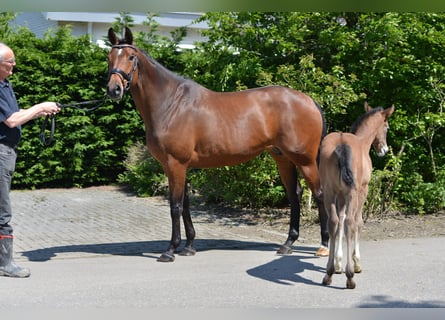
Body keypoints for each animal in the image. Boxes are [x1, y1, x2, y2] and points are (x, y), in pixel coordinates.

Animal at [106, 27, 328, 262]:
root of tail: (310, 101)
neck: (171, 104)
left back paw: (324, 245)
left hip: (305, 160)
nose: (114, 90)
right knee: (295, 195)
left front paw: (170, 250)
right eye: (109, 57)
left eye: (131, 57)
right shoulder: (177, 166)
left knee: (320, 193)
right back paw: (288, 244)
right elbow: (185, 204)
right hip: (283, 158)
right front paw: (189, 247)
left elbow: (175, 206)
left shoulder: (175, 163)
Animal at [318, 103, 394, 290]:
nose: (384, 150)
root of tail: (341, 146)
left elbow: (340, 220)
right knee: (351, 222)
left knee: (334, 221)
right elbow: (358, 222)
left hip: (329, 192)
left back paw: (329, 273)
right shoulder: (363, 190)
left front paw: (338, 264)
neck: (362, 141)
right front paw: (356, 263)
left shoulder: (340, 194)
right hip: (353, 193)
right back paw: (350, 276)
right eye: (386, 127)